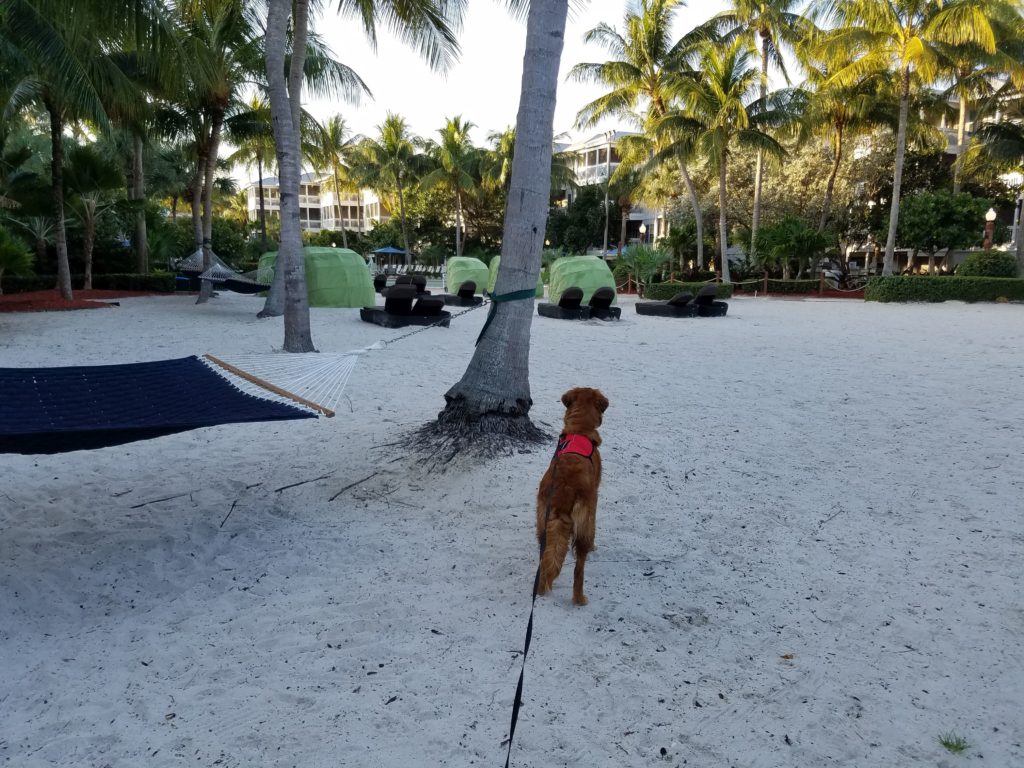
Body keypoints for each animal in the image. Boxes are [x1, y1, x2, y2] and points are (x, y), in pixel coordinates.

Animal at [536, 387, 606, 606]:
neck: (579, 430)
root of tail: (562, 490)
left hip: (542, 520)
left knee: (545, 558)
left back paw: (541, 590)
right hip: (584, 518)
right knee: (579, 567)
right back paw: (579, 599)